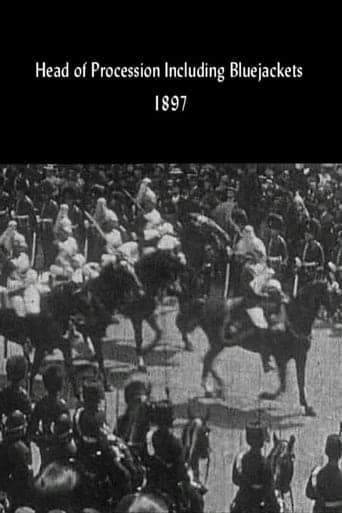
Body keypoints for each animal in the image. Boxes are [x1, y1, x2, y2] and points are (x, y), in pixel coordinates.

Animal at [178, 280, 332, 416]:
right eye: (332, 292)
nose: (332, 313)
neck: (294, 319)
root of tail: (205, 304)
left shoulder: (300, 357)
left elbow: (300, 383)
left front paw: (307, 407)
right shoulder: (280, 357)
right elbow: (284, 384)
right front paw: (267, 395)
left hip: (221, 343)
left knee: (208, 361)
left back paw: (212, 389)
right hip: (218, 343)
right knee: (207, 360)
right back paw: (215, 388)